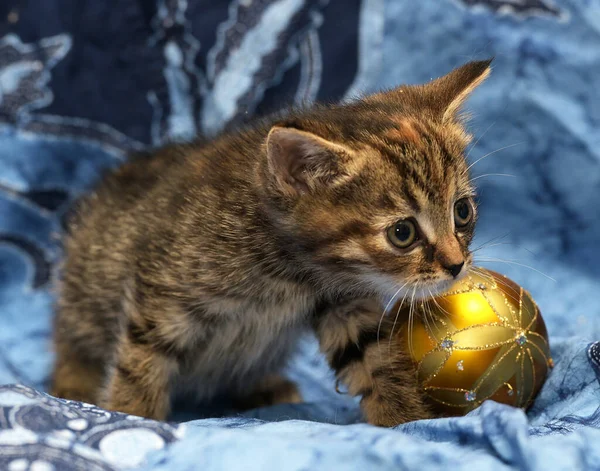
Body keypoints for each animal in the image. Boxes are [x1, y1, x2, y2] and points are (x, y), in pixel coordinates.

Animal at [51, 59, 492, 428]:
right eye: (403, 233)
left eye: (462, 212)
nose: (456, 264)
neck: (290, 269)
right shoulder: (164, 287)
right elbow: (141, 360)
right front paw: (132, 415)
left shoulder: (343, 302)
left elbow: (373, 356)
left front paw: (405, 420)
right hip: (86, 287)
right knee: (71, 335)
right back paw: (72, 381)